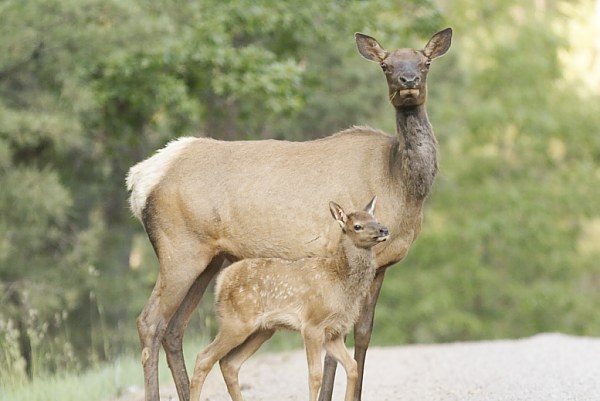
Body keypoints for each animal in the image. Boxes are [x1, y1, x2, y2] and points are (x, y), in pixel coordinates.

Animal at [188, 198, 389, 401]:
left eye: (375, 218)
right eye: (357, 226)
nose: (384, 230)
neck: (342, 284)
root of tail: (221, 280)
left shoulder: (334, 332)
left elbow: (352, 367)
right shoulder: (312, 324)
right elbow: (315, 375)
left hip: (262, 329)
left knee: (229, 363)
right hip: (236, 321)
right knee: (203, 358)